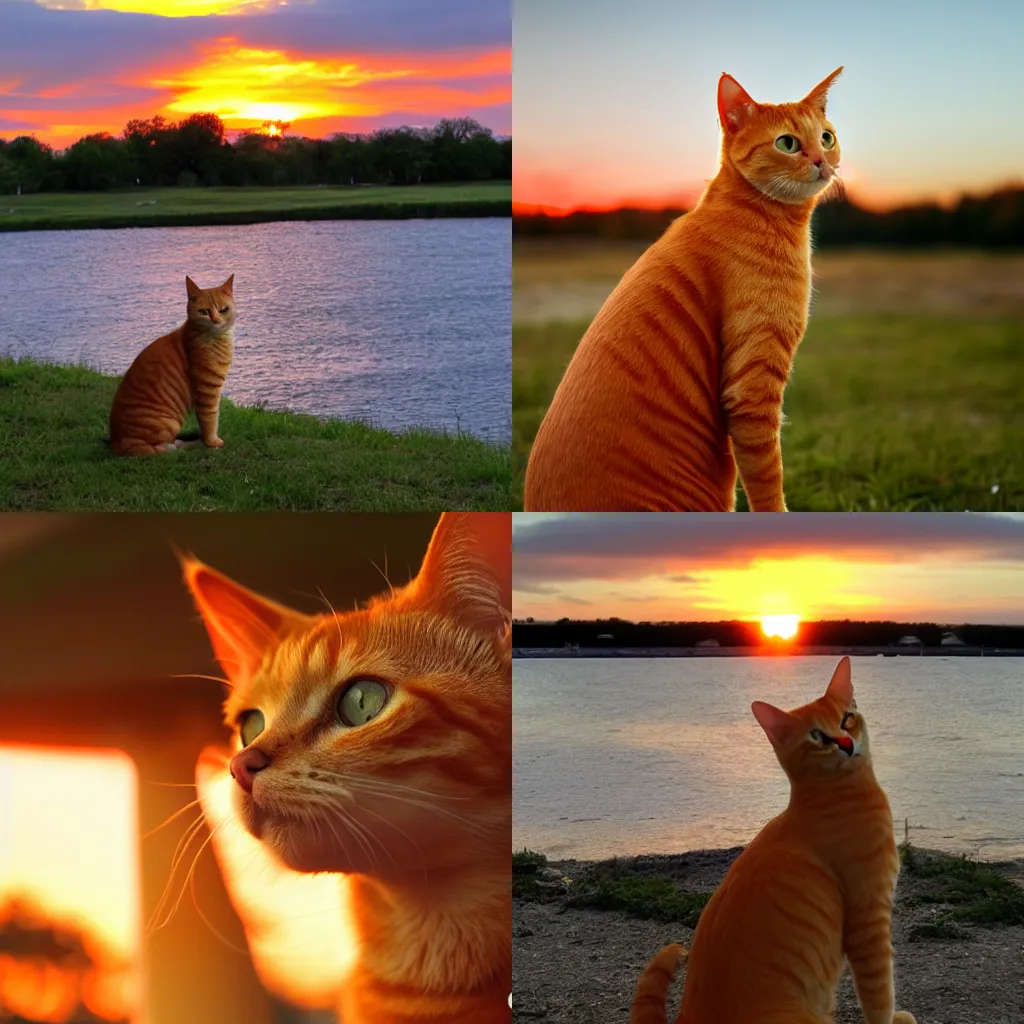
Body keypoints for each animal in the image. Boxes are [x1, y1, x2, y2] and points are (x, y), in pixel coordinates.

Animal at [108, 274, 235, 454]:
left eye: (224, 309)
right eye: (204, 312)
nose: (216, 320)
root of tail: (116, 444)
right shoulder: (208, 388)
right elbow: (210, 418)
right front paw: (211, 442)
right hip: (168, 424)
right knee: (161, 448)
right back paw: (191, 444)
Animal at [634, 655, 917, 1024]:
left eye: (847, 718)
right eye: (817, 735)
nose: (845, 743)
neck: (833, 797)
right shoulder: (868, 920)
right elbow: (880, 994)